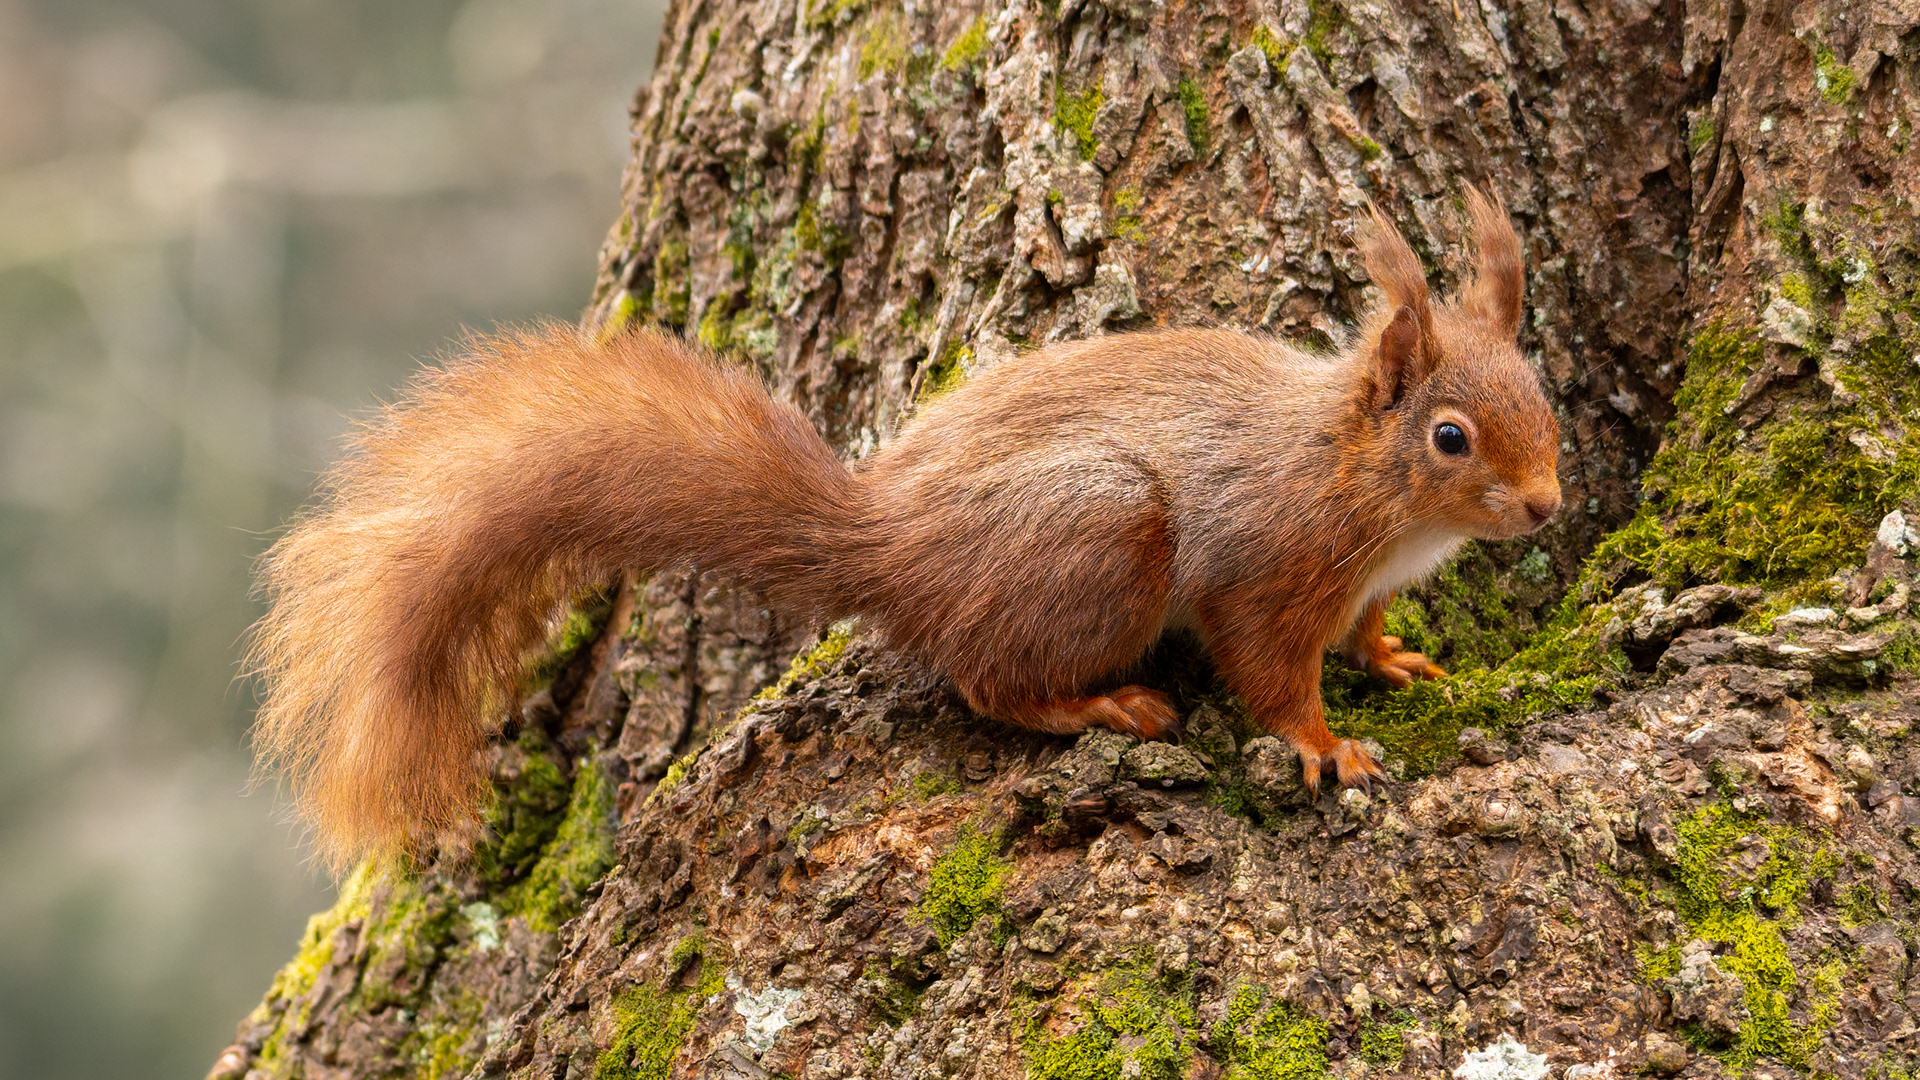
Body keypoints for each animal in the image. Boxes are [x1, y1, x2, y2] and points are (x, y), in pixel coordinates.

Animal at [248, 189, 1561, 867]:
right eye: (1451, 438)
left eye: (1543, 396)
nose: (1548, 504)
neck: (1361, 481)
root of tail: (893, 547)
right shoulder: (1269, 561)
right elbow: (1271, 669)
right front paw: (1327, 747)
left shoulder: (1366, 579)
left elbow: (1368, 632)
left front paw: (1397, 659)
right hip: (1102, 534)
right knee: (987, 680)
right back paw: (1100, 706)